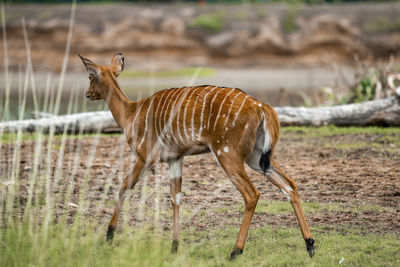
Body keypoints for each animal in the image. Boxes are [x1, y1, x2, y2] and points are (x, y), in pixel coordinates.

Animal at [79, 53, 316, 260]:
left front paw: (109, 235)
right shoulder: (175, 159)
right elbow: (175, 198)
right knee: (290, 184)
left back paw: (235, 251)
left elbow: (123, 186)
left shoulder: (146, 155)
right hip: (257, 157)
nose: (87, 94)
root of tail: (263, 108)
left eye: (90, 77)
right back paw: (310, 245)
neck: (131, 114)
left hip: (227, 153)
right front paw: (174, 246)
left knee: (252, 193)